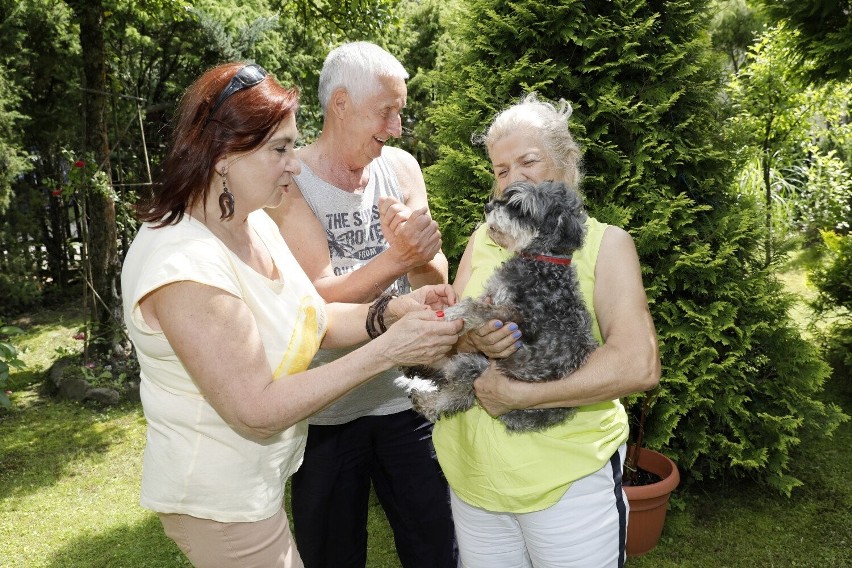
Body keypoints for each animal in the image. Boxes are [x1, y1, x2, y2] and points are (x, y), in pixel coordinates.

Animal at [408, 180, 600, 432]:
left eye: (521, 208)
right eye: (507, 197)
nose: (488, 206)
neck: (542, 263)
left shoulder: (520, 318)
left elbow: (476, 308)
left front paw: (453, 313)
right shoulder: (492, 296)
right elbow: (475, 306)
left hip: (476, 367)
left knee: (455, 395)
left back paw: (426, 399)